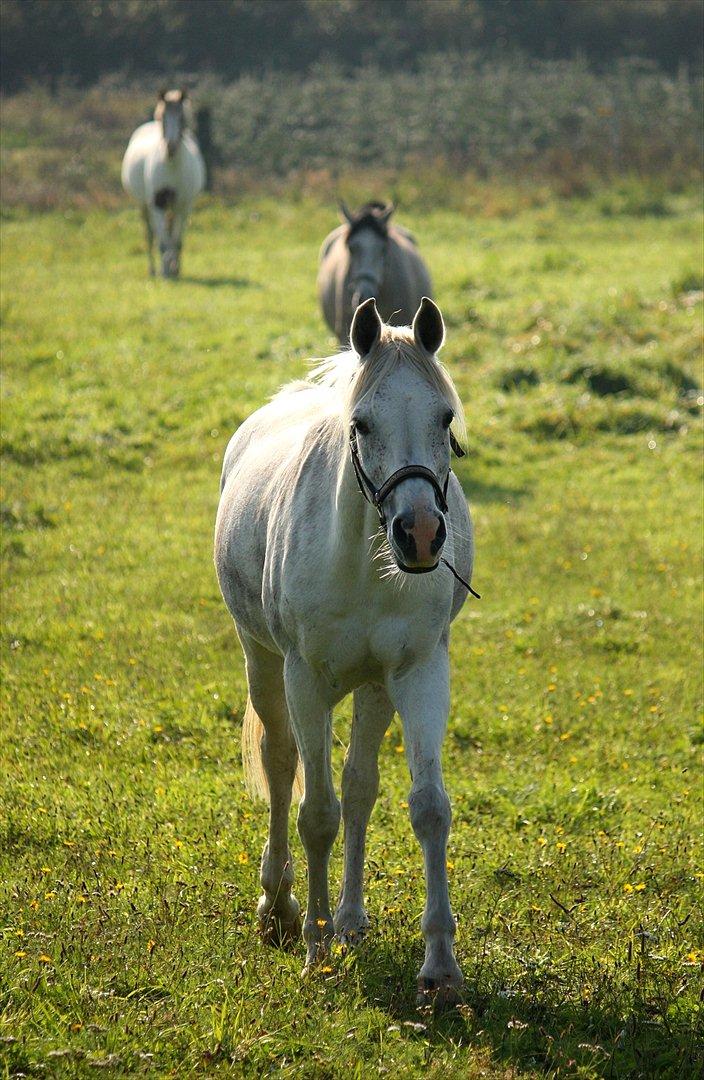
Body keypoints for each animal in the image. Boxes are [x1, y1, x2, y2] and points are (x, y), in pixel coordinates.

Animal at [119, 88, 202, 278]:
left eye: (182, 117)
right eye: (162, 117)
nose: (171, 147)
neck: (171, 166)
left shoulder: (182, 205)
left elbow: (177, 240)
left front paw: (174, 270)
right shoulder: (157, 203)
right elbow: (162, 241)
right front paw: (165, 273)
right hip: (144, 205)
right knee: (150, 235)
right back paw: (153, 269)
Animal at [212, 298, 479, 1002]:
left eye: (444, 418)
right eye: (361, 424)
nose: (420, 534)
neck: (364, 561)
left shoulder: (418, 672)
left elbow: (426, 807)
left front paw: (440, 967)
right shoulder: (305, 680)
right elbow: (315, 813)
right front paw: (314, 949)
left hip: (375, 686)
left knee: (360, 787)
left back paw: (351, 920)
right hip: (262, 662)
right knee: (281, 767)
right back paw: (280, 910)